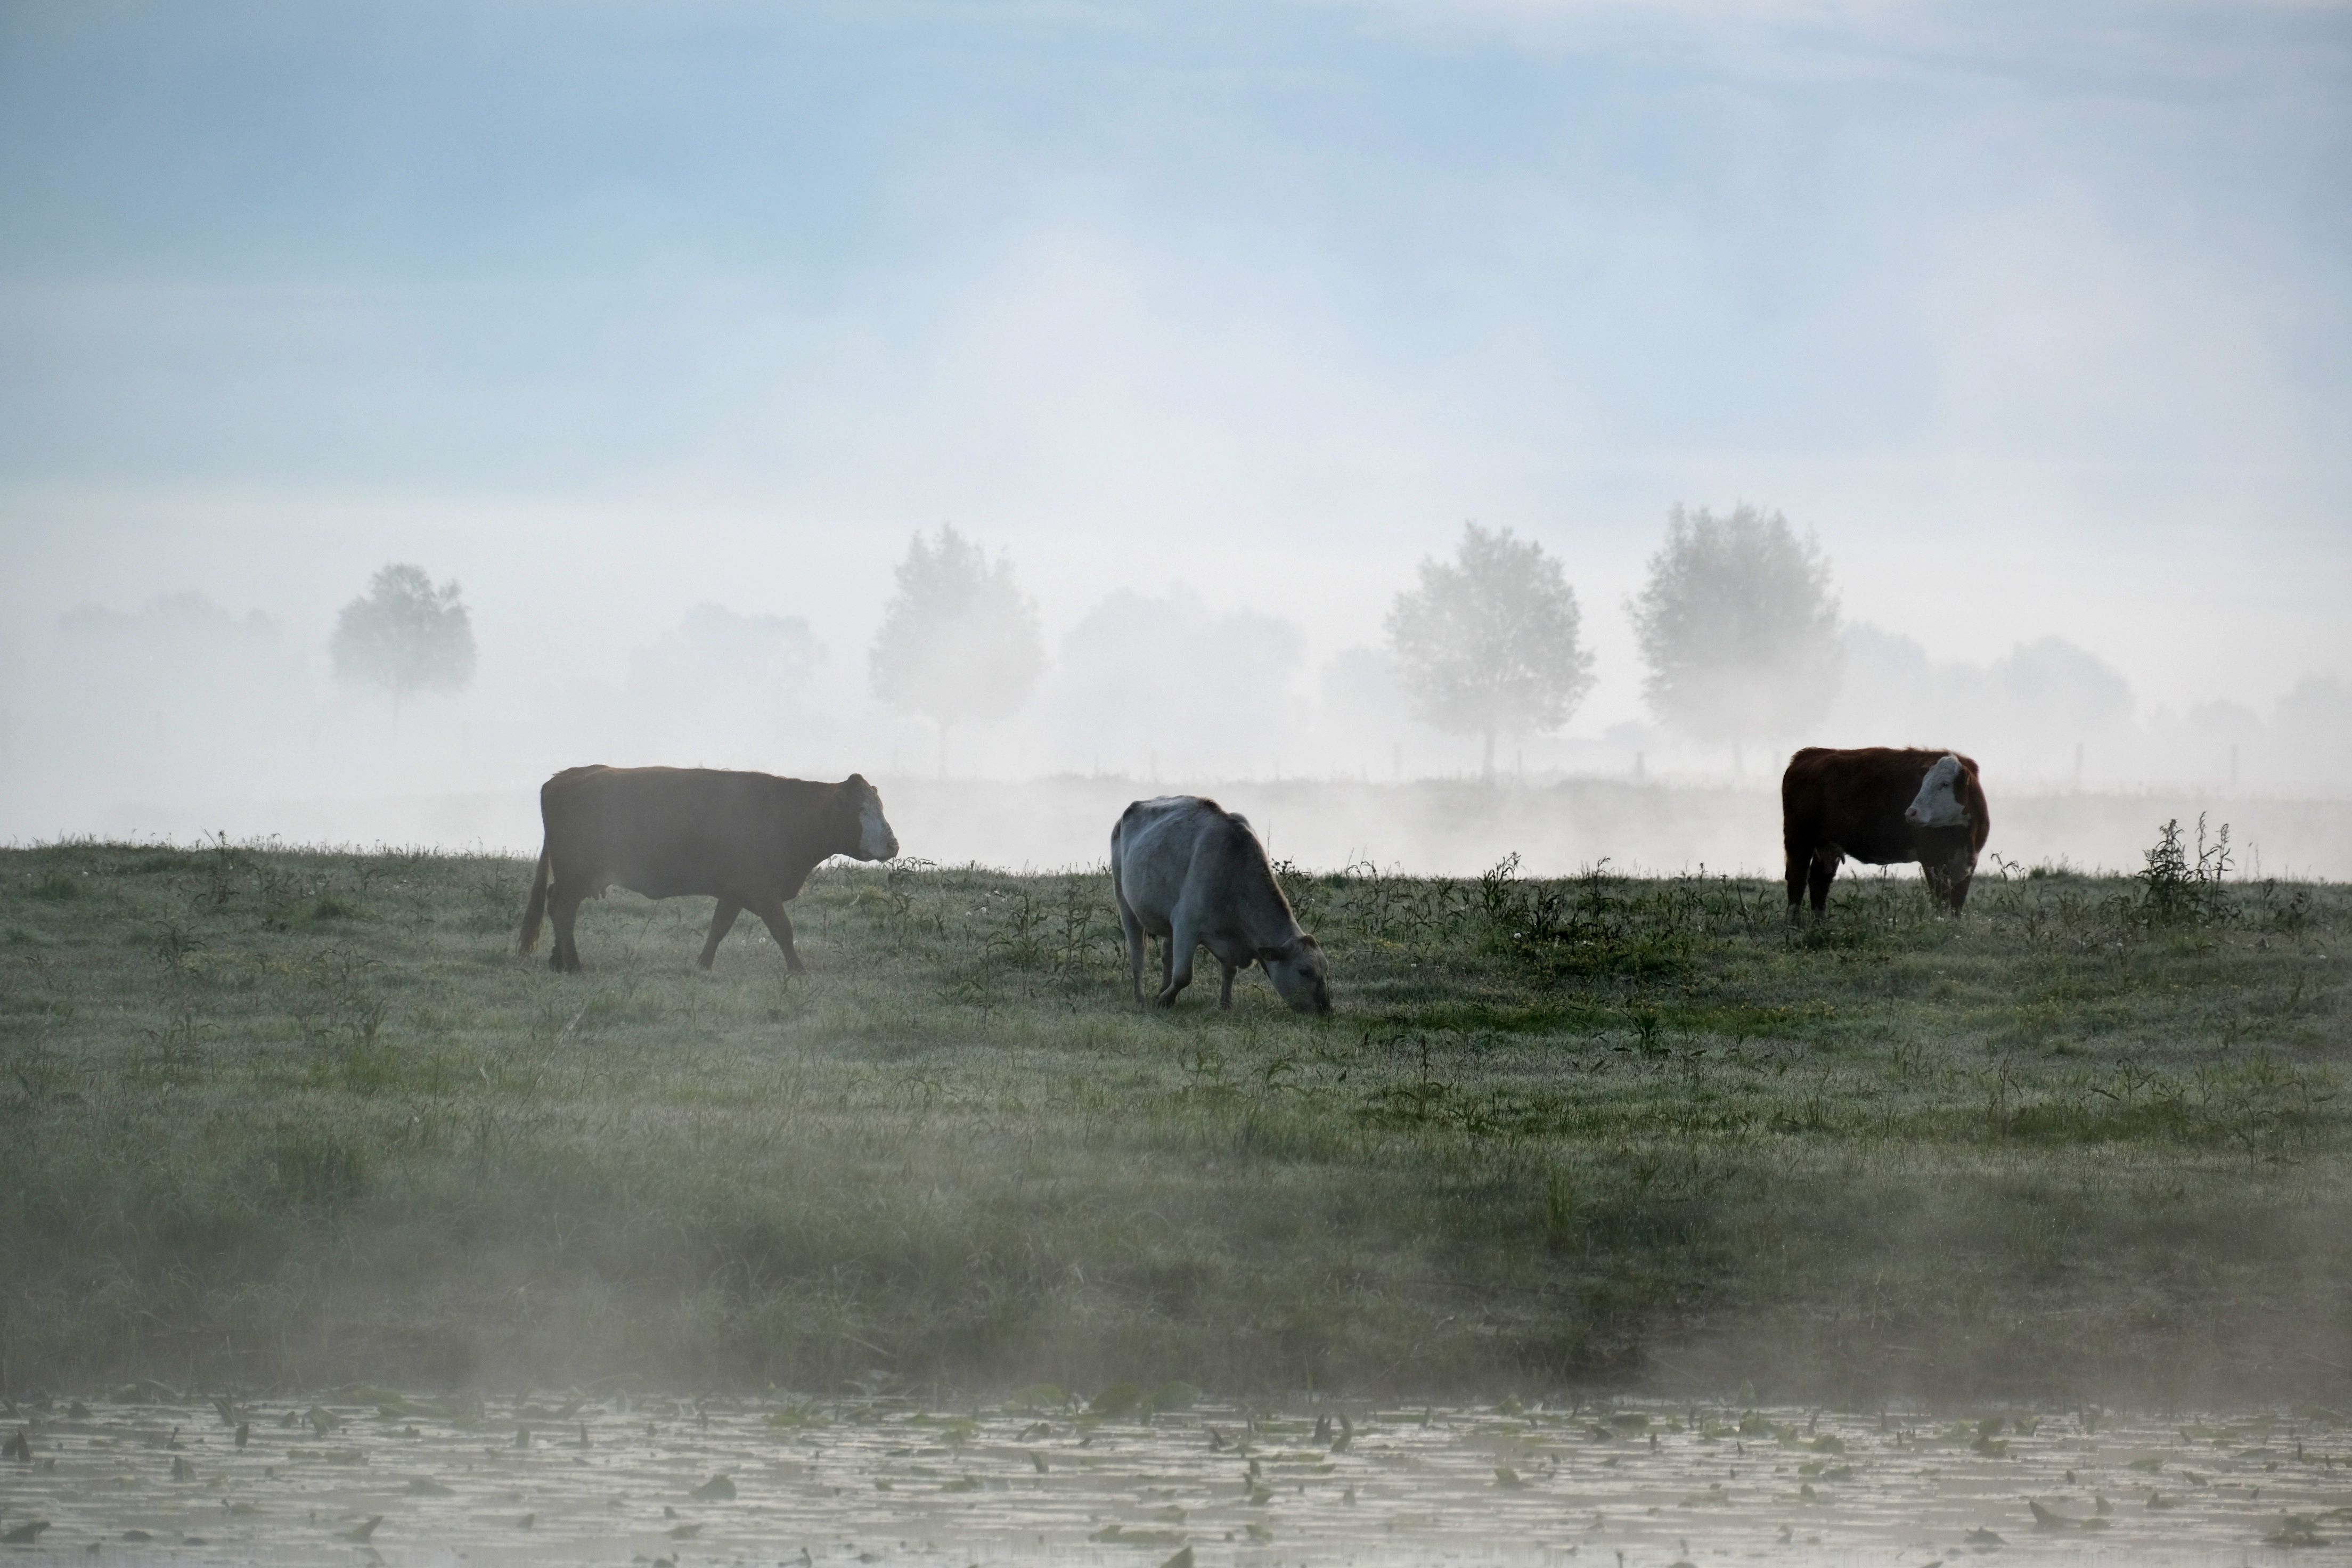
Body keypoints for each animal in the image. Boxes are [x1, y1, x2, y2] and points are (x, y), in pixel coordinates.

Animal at [517, 766, 899, 973]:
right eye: (863, 809)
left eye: (881, 806)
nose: (893, 844)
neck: (787, 815)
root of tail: (563, 778)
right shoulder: (761, 889)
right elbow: (783, 930)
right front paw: (799, 970)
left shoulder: (734, 891)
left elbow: (719, 928)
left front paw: (702, 965)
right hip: (576, 874)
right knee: (563, 910)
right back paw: (573, 964)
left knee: (557, 907)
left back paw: (559, 960)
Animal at [1110, 795, 1331, 1013]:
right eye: (1304, 971)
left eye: (1325, 969)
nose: (1325, 1008)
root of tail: (1134, 807)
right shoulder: (1186, 926)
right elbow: (1183, 975)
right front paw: (1164, 999)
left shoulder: (1228, 939)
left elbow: (1229, 971)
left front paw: (1226, 1005)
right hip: (1124, 900)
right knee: (1138, 955)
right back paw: (1141, 998)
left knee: (1166, 955)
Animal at [1781, 747, 1990, 920]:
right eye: (1922, 783)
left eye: (1944, 784)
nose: (1911, 812)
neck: (1964, 836)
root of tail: (1810, 753)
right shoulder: (1932, 860)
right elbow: (1942, 900)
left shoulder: (1968, 862)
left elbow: (1957, 903)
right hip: (1799, 839)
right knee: (1798, 878)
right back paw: (1793, 924)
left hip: (1827, 845)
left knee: (1819, 881)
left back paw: (1820, 924)